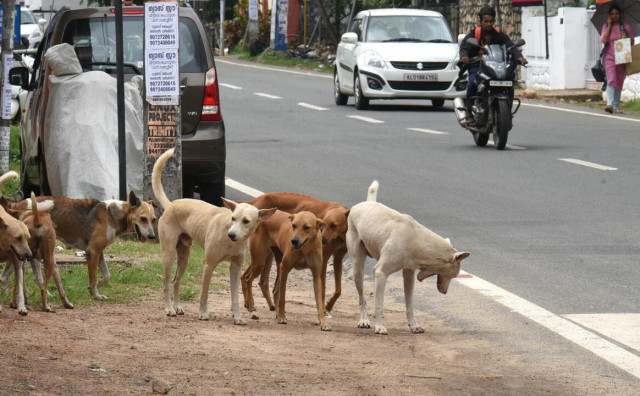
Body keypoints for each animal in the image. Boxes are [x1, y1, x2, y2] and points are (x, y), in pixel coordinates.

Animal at [9, 190, 156, 298]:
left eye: (153, 220)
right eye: (143, 219)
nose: (152, 236)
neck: (112, 215)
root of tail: (18, 205)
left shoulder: (99, 252)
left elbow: (106, 275)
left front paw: (95, 287)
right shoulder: (92, 251)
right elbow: (93, 278)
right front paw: (96, 295)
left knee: (33, 276)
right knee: (33, 276)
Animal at [155, 147, 278, 324]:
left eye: (246, 221)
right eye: (233, 218)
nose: (231, 234)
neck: (232, 243)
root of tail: (172, 204)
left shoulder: (235, 267)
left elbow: (235, 297)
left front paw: (237, 316)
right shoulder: (209, 264)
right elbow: (204, 294)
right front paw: (203, 313)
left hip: (184, 257)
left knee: (176, 281)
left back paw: (177, 307)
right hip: (168, 255)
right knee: (166, 283)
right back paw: (169, 309)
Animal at [344, 182, 470, 334]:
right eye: (454, 276)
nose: (445, 292)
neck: (417, 240)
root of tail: (366, 203)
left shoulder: (409, 274)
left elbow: (409, 303)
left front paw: (414, 325)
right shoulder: (380, 273)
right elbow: (379, 304)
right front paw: (380, 326)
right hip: (357, 267)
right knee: (362, 297)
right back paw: (364, 320)